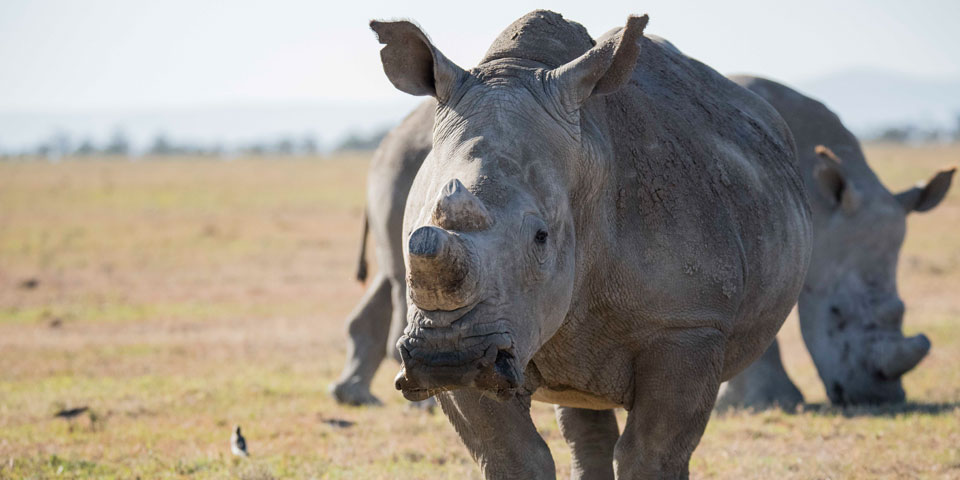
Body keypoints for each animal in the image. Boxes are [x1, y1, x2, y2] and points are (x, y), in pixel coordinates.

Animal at [338, 10, 812, 478]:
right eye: (413, 234)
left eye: (541, 238)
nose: (446, 358)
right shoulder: (476, 337)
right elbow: (512, 454)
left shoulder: (690, 324)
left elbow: (652, 453)